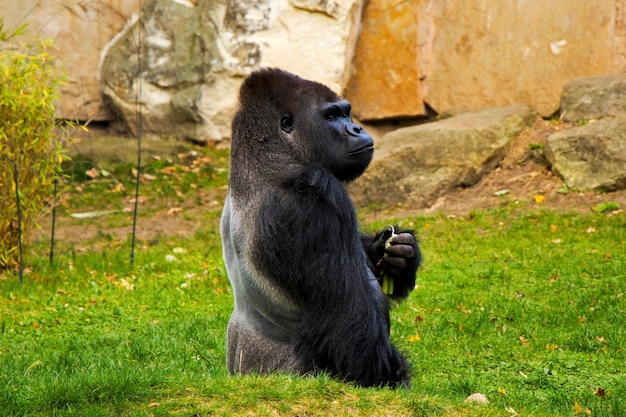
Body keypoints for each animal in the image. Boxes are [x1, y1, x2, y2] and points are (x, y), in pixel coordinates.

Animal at [219, 68, 420, 386]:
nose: (357, 129)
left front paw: (399, 256)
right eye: (332, 116)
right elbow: (354, 338)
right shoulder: (318, 194)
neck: (270, 161)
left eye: (347, 113)